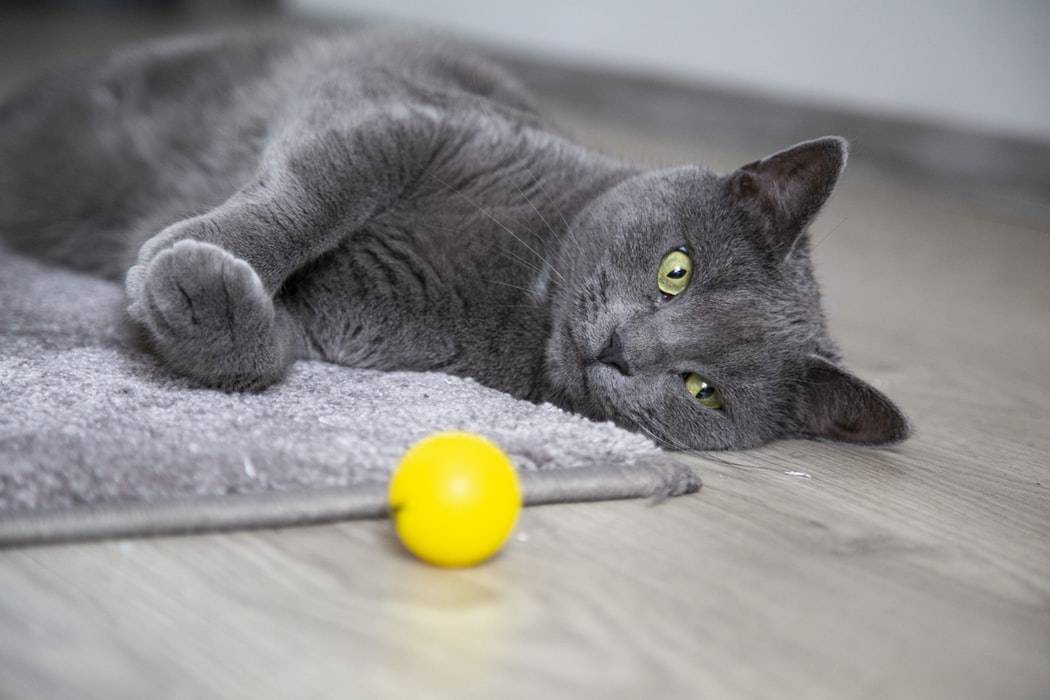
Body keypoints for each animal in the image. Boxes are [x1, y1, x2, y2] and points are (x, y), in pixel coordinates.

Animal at [0, 25, 911, 449]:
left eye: (702, 390)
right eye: (676, 270)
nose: (620, 349)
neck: (518, 281)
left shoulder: (341, 331)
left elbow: (264, 351)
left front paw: (200, 298)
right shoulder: (395, 120)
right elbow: (309, 196)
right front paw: (185, 257)